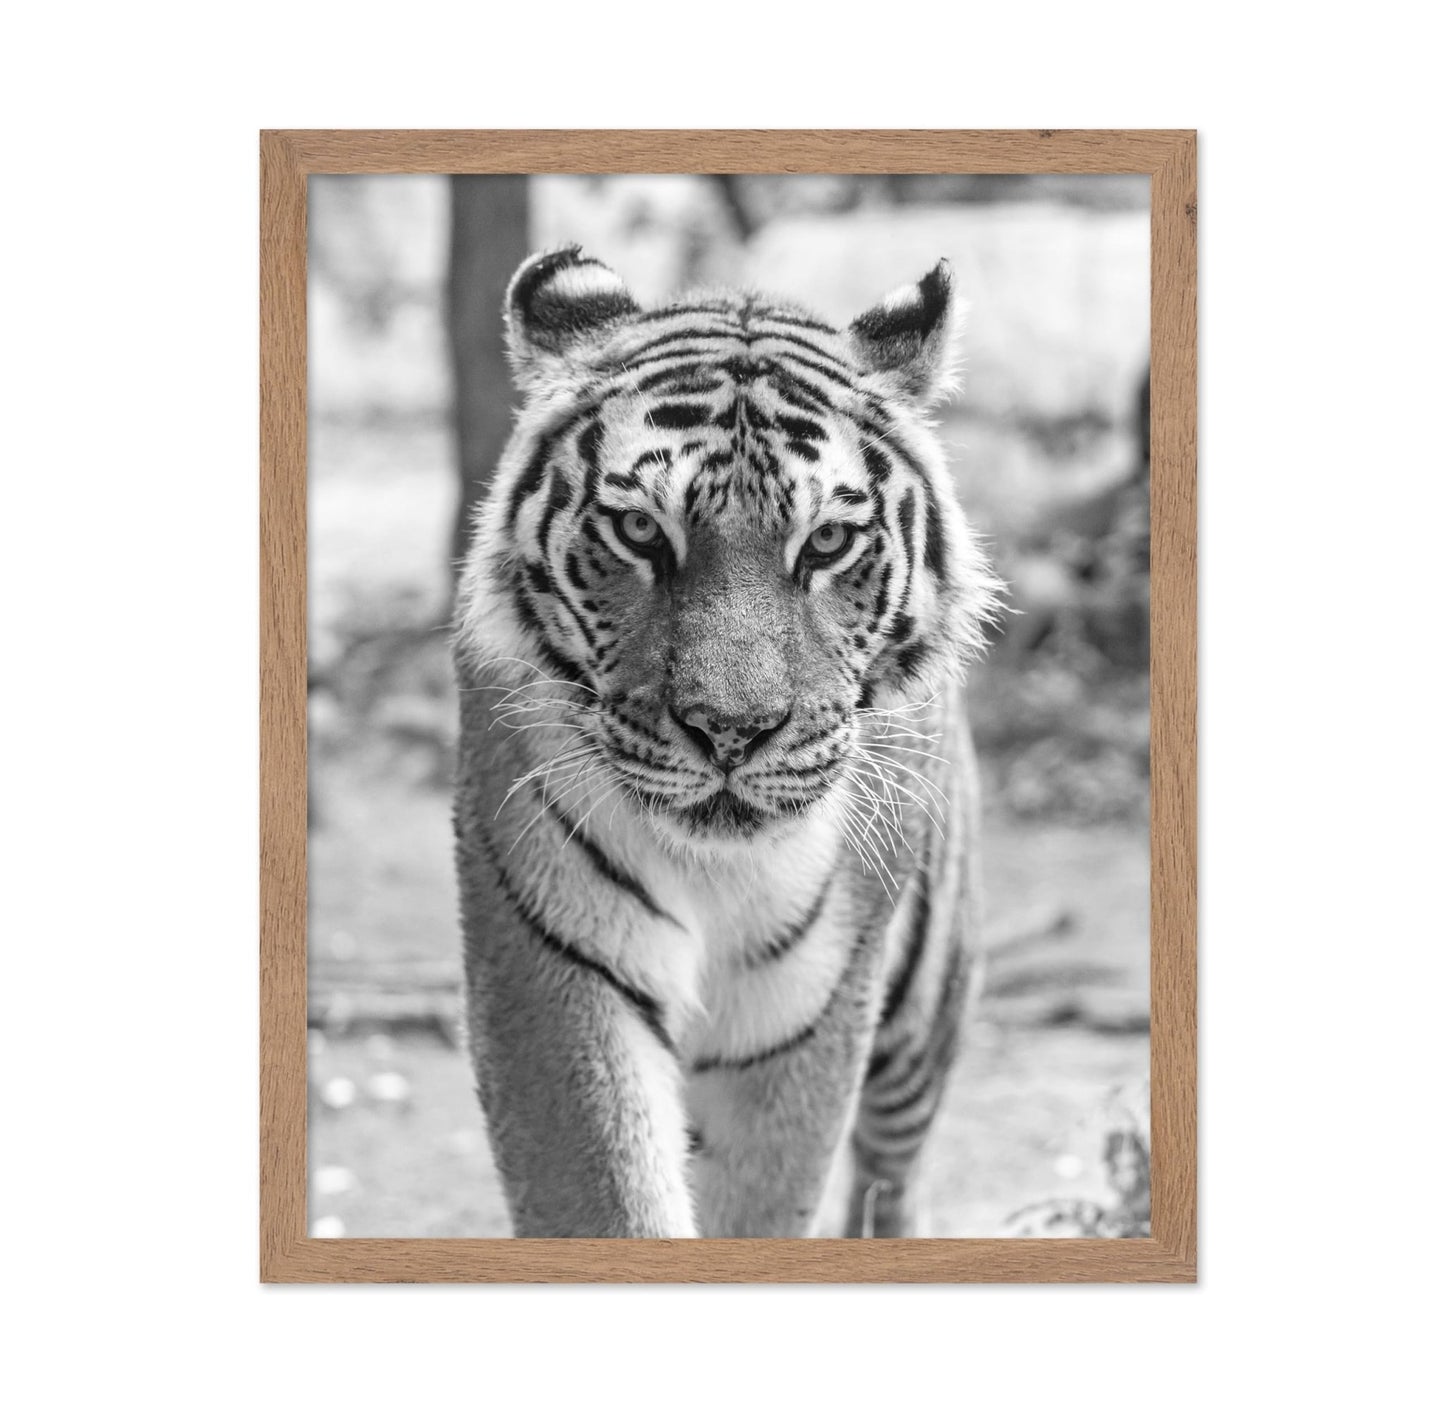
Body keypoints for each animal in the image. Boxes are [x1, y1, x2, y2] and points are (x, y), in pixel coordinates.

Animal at [452, 244, 1003, 1238]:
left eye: (826, 542)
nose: (731, 730)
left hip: (924, 1003)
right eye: (639, 530)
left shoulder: (804, 1007)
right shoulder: (556, 963)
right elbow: (608, 1196)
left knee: (891, 1170)